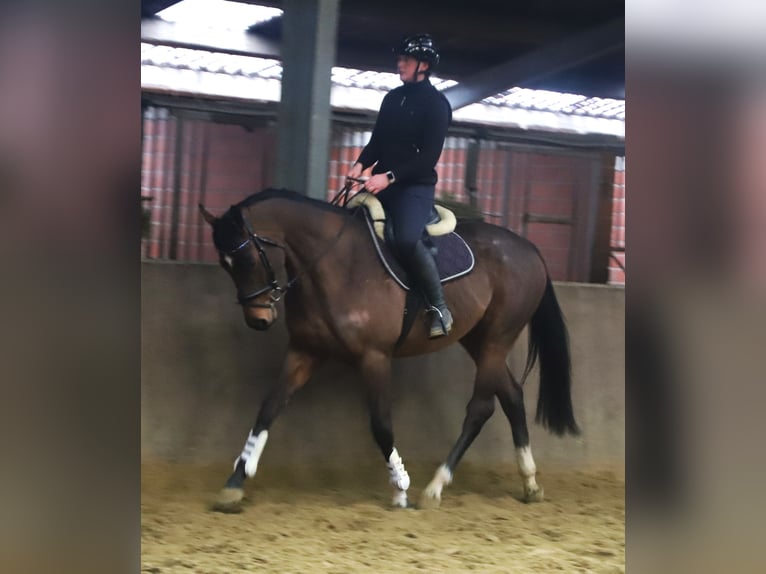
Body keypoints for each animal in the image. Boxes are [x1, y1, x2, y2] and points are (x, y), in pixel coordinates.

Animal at [199, 187, 579, 511]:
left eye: (248, 260)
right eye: (224, 264)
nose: (258, 320)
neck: (336, 264)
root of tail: (529, 248)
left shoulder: (375, 357)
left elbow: (381, 424)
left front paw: (400, 488)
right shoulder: (305, 351)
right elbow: (268, 409)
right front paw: (234, 483)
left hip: (498, 338)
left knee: (481, 408)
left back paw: (435, 487)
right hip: (479, 339)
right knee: (512, 395)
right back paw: (529, 483)